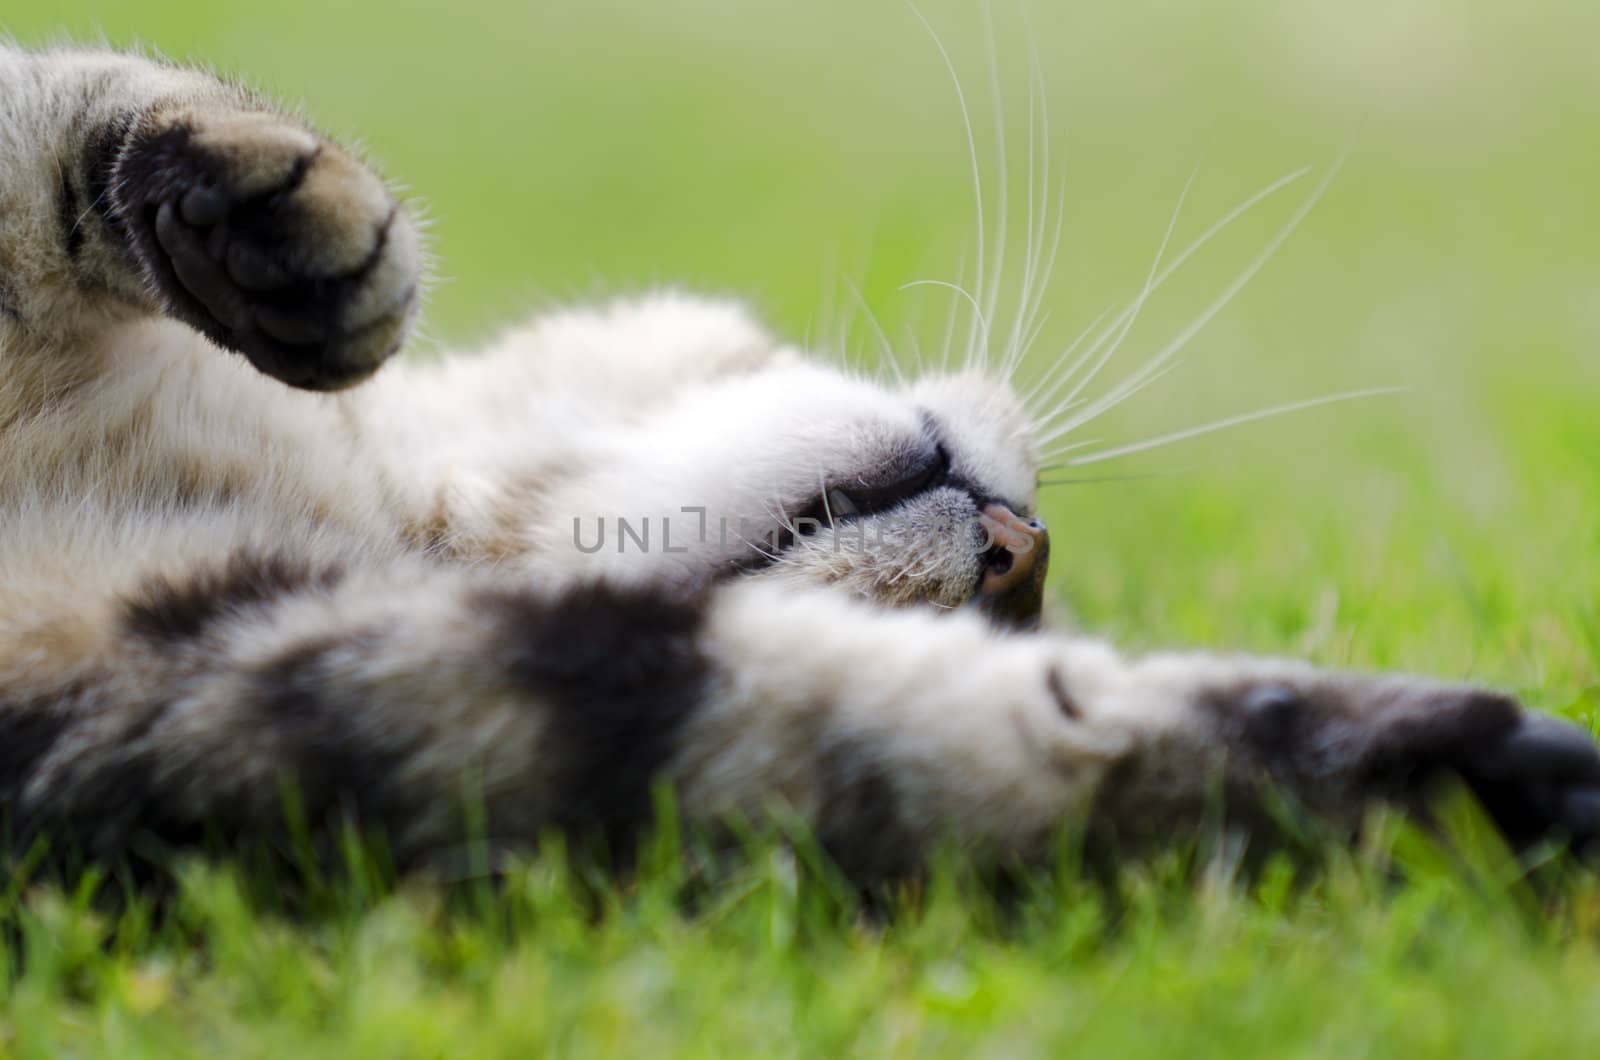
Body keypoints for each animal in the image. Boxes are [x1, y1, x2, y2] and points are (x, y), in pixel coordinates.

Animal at [0, 43, 1593, 890]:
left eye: (1022, 609)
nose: (1019, 542)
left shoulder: (210, 693)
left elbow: (890, 731)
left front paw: (1450, 775)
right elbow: (61, 106)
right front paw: (289, 217)